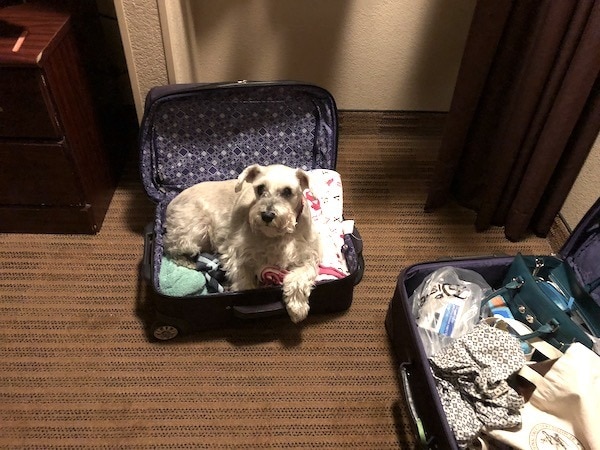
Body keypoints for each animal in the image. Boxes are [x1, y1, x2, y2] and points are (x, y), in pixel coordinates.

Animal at [164, 163, 322, 322]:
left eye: (287, 191)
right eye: (260, 188)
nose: (267, 215)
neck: (277, 236)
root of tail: (171, 203)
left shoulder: (308, 256)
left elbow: (299, 278)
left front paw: (297, 309)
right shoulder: (236, 253)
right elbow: (244, 282)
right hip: (195, 230)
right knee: (172, 248)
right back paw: (188, 261)